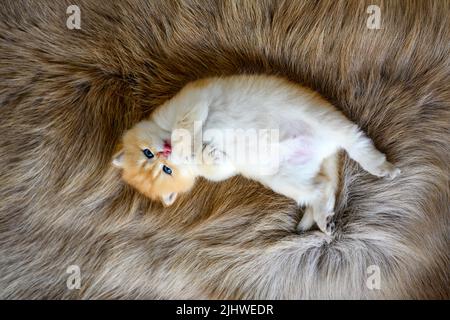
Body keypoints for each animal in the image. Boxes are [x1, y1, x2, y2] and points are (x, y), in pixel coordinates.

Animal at [113, 75, 400, 235]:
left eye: (150, 155)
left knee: (357, 143)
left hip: (324, 120)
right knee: (322, 188)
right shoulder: (223, 167)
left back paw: (381, 167)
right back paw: (323, 219)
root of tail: (323, 148)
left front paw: (185, 146)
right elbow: (213, 165)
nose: (165, 153)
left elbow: (183, 130)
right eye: (166, 169)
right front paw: (205, 153)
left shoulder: (191, 102)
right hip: (284, 178)